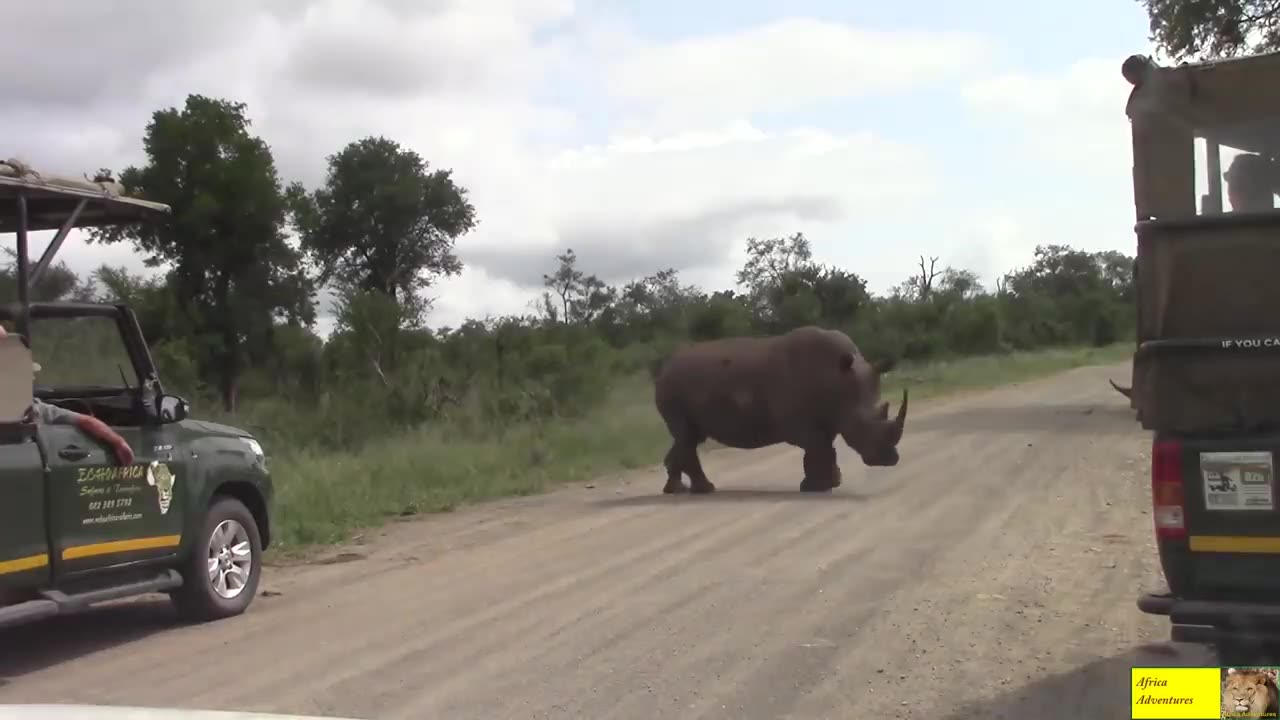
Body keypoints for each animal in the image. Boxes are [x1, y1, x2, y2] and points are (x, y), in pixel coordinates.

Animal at [650, 326, 911, 489]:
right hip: (672, 387)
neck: (837, 379)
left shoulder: (828, 416)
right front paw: (818, 487)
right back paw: (705, 489)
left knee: (689, 436)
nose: (890, 460)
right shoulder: (798, 423)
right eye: (862, 425)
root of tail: (664, 367)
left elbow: (825, 448)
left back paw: (676, 489)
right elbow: (819, 448)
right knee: (686, 436)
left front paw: (827, 484)